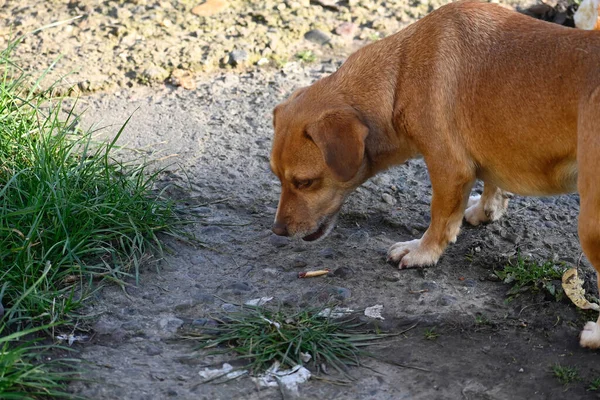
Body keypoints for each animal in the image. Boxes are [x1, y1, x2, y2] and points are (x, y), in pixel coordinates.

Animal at [270, 0, 600, 346]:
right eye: (277, 176)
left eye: (304, 182)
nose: (277, 231)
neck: (399, 76)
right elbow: (492, 183)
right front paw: (487, 208)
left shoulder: (448, 169)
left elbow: (440, 219)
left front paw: (422, 252)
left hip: (591, 225)